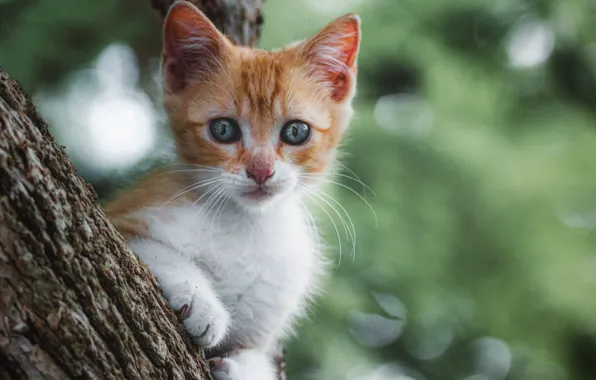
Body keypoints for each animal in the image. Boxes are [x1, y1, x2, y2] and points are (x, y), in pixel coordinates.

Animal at [105, 1, 360, 378]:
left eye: (296, 131)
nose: (261, 170)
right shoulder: (126, 218)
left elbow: (258, 359)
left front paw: (240, 367)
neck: (245, 225)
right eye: (223, 129)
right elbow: (156, 249)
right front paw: (200, 300)